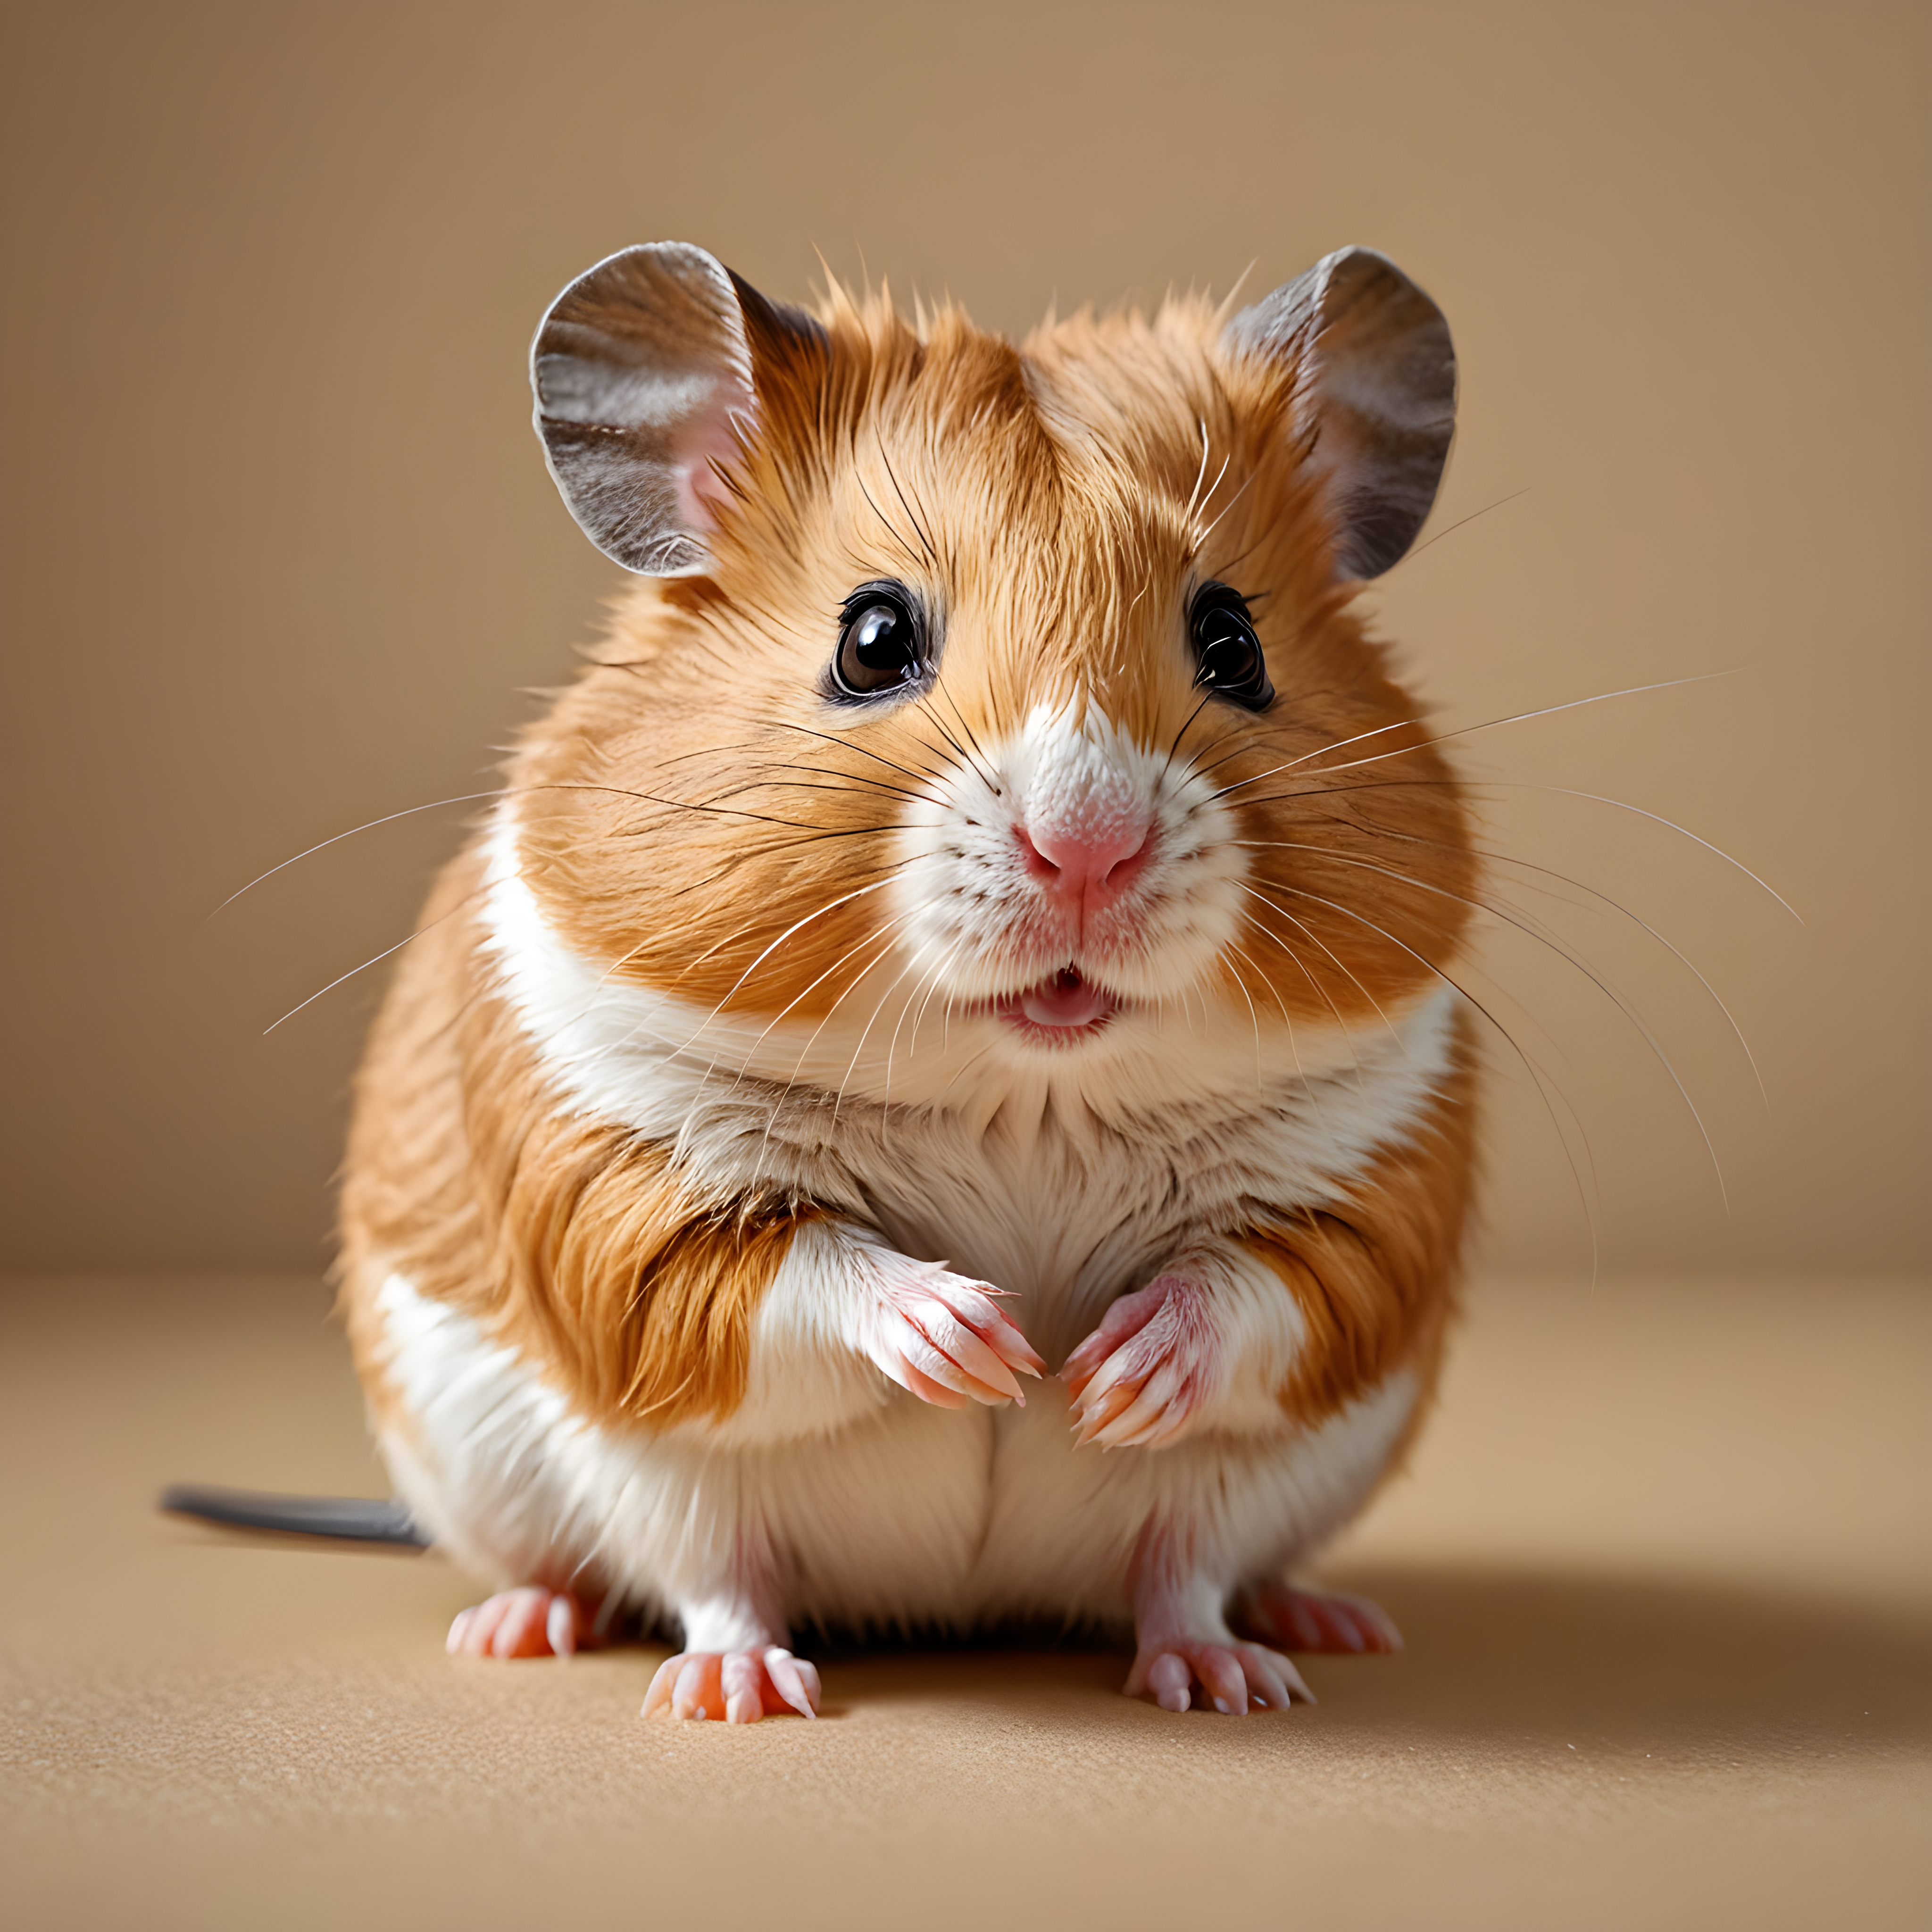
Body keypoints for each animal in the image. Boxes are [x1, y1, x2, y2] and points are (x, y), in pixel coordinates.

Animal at [337, 240, 1474, 1721]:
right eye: (872, 640)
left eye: (1235, 644)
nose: (1086, 848)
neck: (1024, 1094)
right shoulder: (613, 1192)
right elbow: (795, 1277)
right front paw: (986, 1348)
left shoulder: (1378, 1186)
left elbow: (1264, 1291)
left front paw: (1104, 1377)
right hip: (604, 1485)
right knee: (707, 1580)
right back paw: (657, 1668)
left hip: (1242, 1498)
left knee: (1184, 1572)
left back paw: (1263, 1657)